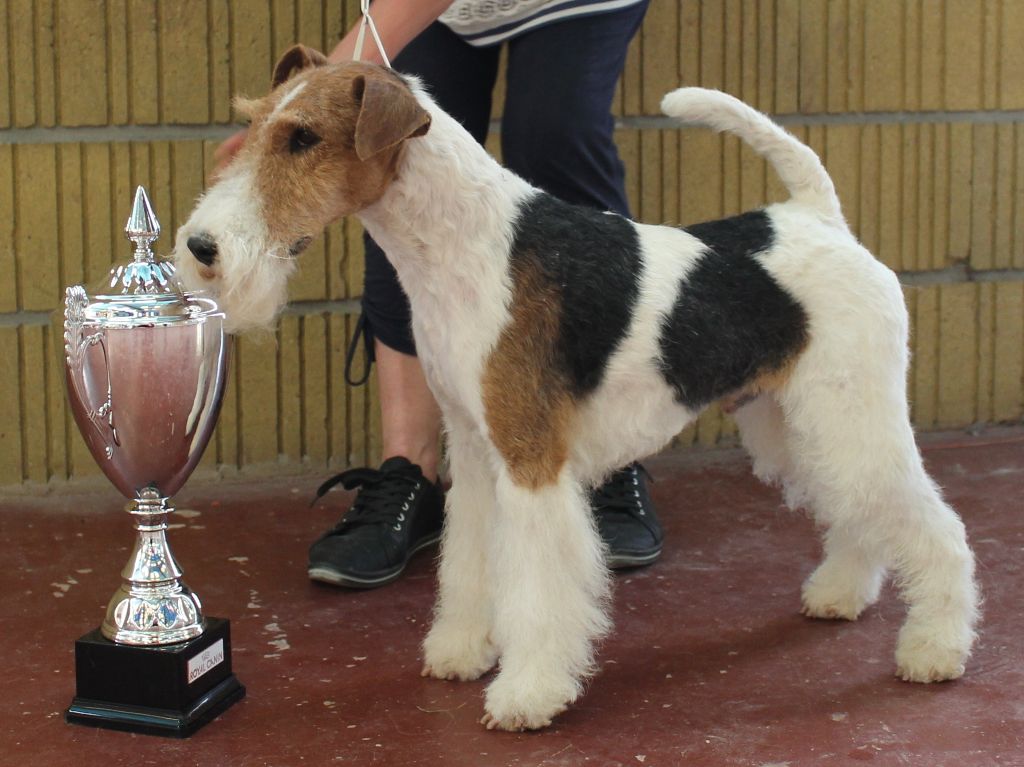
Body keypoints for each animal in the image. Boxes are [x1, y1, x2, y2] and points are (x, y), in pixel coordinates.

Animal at [174, 46, 974, 729]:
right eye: (255, 124)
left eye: (303, 138)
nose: (202, 248)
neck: (464, 247)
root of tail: (817, 217)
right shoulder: (474, 450)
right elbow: (468, 563)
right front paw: (460, 650)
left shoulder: (531, 459)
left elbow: (537, 588)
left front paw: (527, 693)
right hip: (795, 417)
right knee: (861, 513)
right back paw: (840, 593)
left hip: (848, 409)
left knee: (934, 526)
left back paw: (935, 647)